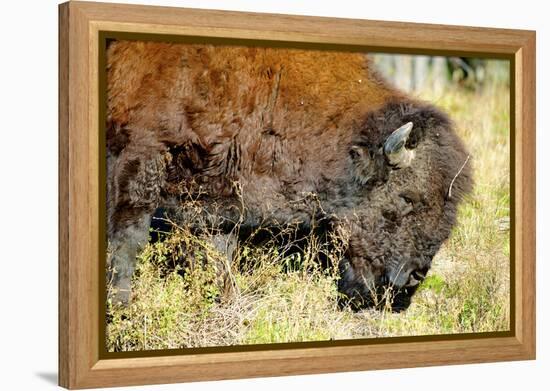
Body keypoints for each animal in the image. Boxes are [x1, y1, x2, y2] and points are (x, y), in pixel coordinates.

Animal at [108, 40, 474, 312]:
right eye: (407, 198)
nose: (414, 276)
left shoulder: (217, 190)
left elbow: (220, 250)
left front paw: (225, 300)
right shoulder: (139, 154)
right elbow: (128, 236)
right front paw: (121, 304)